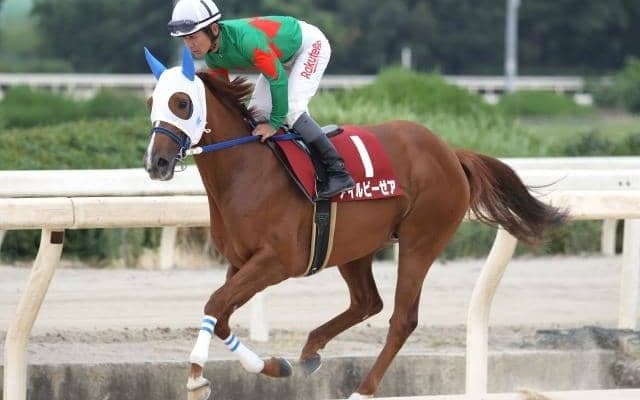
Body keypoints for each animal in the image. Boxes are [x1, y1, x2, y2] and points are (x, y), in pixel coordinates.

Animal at [142, 47, 566, 399]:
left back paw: (362, 390)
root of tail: (450, 152)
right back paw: (310, 351)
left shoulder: (278, 260)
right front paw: (275, 366)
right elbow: (222, 315)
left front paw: (196, 377)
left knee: (402, 318)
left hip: (421, 239)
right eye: (151, 102)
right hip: (354, 245)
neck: (247, 171)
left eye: (181, 102)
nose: (156, 163)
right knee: (367, 301)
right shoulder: (242, 260)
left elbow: (215, 302)